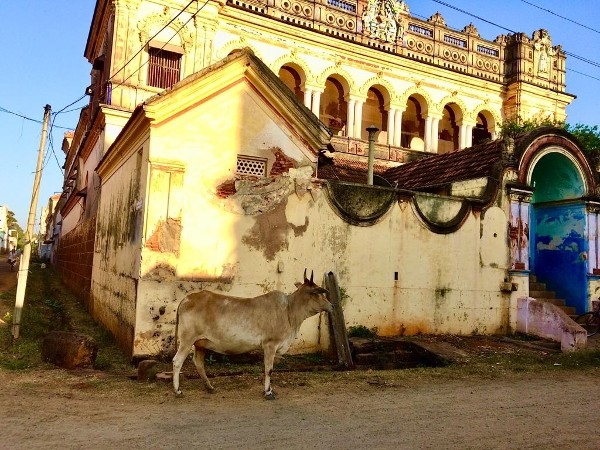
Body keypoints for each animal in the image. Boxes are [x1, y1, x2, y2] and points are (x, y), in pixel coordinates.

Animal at [172, 268, 332, 400]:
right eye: (319, 294)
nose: (331, 305)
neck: (289, 311)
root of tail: (187, 299)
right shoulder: (270, 344)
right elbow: (269, 369)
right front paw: (268, 392)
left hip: (200, 343)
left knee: (198, 363)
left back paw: (209, 387)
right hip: (187, 339)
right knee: (177, 361)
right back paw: (178, 391)